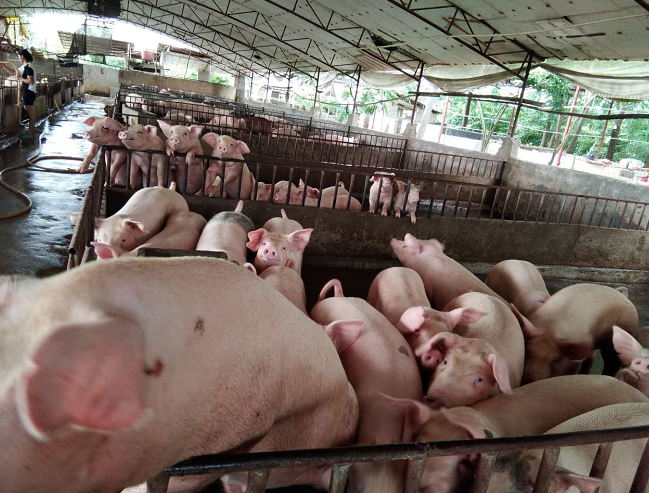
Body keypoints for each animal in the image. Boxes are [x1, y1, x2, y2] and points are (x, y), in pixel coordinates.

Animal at [510, 283, 639, 383]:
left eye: (555, 359)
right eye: (527, 351)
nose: (528, 379)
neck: (551, 328)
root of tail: (622, 294)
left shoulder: (571, 362)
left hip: (621, 335)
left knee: (613, 363)